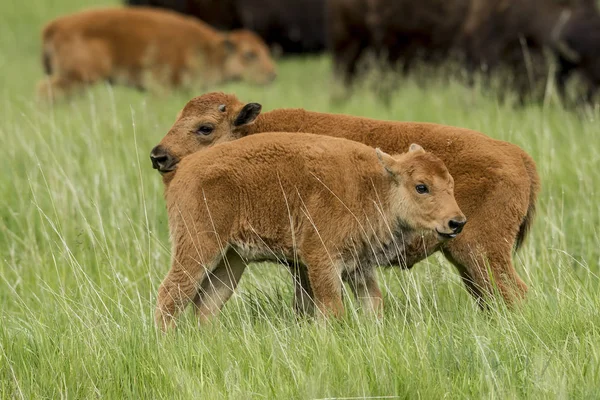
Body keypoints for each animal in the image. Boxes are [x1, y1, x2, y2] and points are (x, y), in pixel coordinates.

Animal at [38, 6, 278, 101]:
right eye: (250, 54)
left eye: (266, 51)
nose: (271, 74)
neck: (206, 50)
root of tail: (55, 25)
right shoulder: (161, 86)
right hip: (78, 76)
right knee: (44, 90)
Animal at [151, 92, 544, 308]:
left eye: (204, 127)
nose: (159, 156)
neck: (252, 130)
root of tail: (519, 156)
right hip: (468, 260)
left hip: (481, 252)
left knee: (513, 292)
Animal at [155, 133, 464, 330]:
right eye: (421, 186)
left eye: (450, 183)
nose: (457, 222)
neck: (374, 185)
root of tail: (184, 170)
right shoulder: (321, 260)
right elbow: (332, 309)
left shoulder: (360, 267)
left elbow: (373, 304)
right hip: (199, 247)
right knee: (170, 295)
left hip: (231, 259)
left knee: (206, 304)